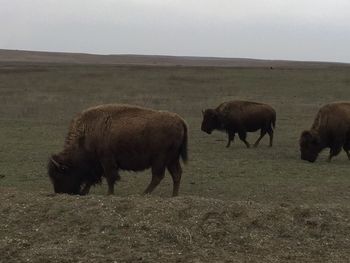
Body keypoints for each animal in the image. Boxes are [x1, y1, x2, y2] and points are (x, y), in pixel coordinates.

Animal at [48, 104, 189, 197]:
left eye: (59, 174)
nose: (60, 192)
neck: (86, 134)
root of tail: (179, 120)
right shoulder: (98, 164)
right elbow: (93, 179)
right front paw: (84, 192)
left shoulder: (106, 161)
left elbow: (110, 177)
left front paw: (109, 194)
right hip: (171, 159)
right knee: (176, 174)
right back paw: (174, 195)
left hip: (160, 159)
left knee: (158, 176)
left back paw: (143, 193)